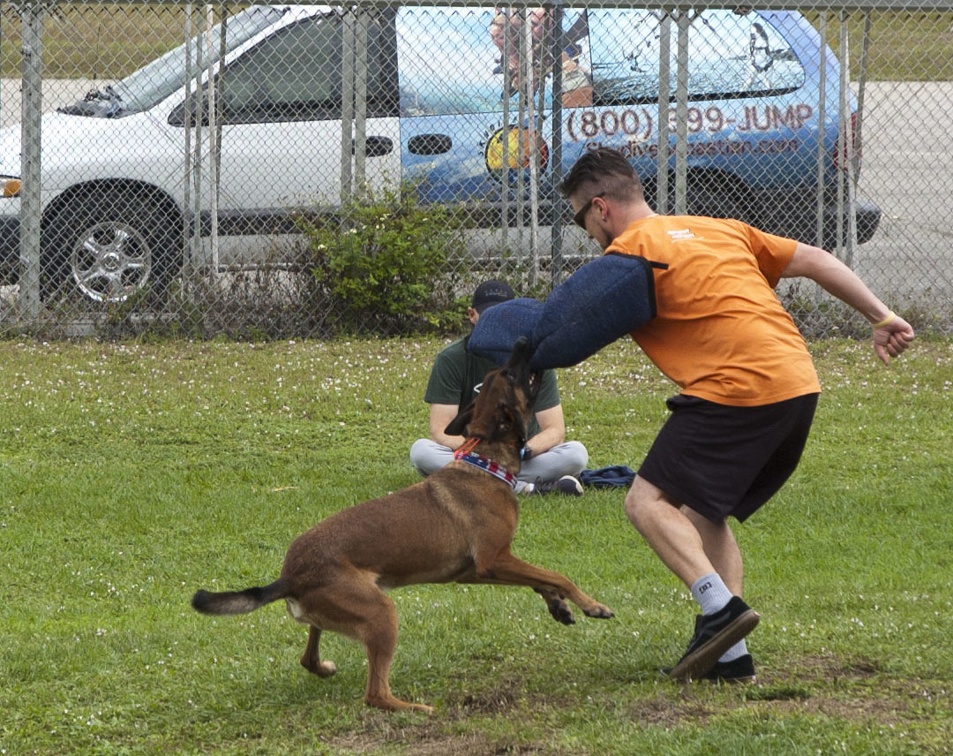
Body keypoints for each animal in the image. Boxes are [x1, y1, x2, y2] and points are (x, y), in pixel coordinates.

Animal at [190, 340, 612, 712]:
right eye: (509, 373)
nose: (524, 341)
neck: (484, 461)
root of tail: (289, 577)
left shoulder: (479, 570)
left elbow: (542, 579)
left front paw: (559, 607)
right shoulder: (493, 560)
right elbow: (557, 575)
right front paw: (591, 605)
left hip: (337, 610)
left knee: (308, 657)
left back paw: (324, 667)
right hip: (380, 613)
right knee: (375, 693)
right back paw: (415, 708)